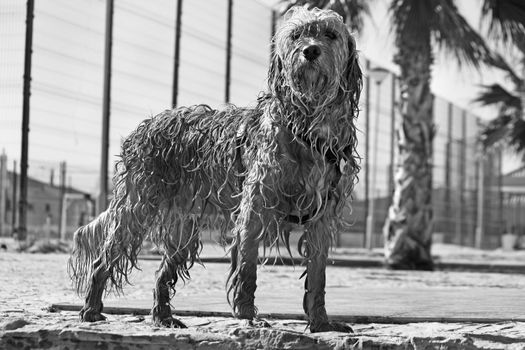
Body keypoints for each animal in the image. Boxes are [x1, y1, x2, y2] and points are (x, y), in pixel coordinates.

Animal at [68, 6, 360, 334]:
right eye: (297, 35)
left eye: (330, 35)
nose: (310, 51)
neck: (308, 126)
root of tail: (142, 129)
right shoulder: (255, 208)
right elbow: (247, 270)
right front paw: (247, 317)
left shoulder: (322, 218)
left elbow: (318, 277)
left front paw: (321, 323)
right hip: (135, 210)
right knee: (102, 262)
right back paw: (91, 311)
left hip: (182, 229)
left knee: (161, 273)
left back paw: (163, 317)